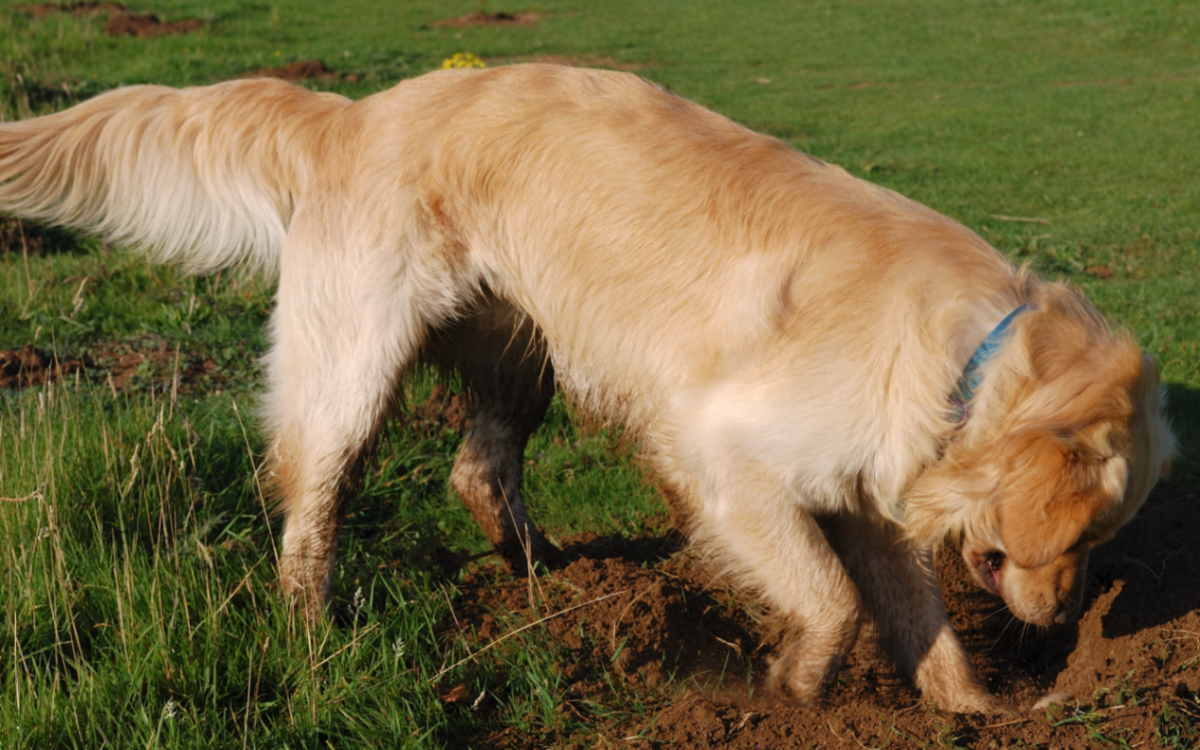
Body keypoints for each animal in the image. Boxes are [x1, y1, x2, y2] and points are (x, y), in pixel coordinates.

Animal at [0, 63, 1171, 705]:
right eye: (1078, 539)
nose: (1065, 625)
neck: (973, 355)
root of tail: (357, 114)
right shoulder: (722, 451)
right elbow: (833, 602)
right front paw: (796, 690)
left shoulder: (873, 499)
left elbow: (914, 616)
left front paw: (974, 712)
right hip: (354, 368)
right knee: (311, 506)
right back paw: (314, 636)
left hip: (526, 355)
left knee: (477, 471)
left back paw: (548, 581)